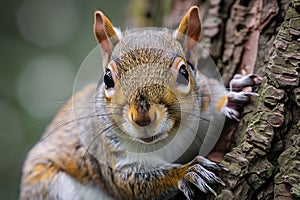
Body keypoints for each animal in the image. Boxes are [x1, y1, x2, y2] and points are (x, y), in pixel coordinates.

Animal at [19, 6, 262, 200]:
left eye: (184, 73)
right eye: (108, 78)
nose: (142, 118)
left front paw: (231, 97)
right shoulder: (112, 154)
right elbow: (134, 182)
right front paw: (188, 173)